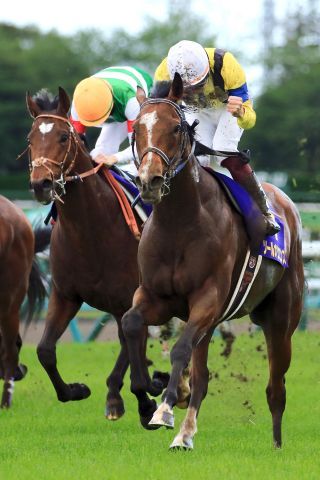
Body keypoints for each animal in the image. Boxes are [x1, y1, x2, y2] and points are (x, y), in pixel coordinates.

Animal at [25, 86, 164, 420]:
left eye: (64, 136)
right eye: (30, 139)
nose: (41, 184)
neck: (90, 232)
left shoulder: (130, 298)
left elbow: (133, 350)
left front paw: (144, 396)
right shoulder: (65, 294)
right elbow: (44, 350)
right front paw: (76, 389)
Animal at [122, 74, 304, 450]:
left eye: (176, 127)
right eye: (137, 130)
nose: (150, 181)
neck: (180, 222)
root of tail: (285, 203)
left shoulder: (208, 299)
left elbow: (179, 350)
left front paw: (164, 410)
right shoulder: (156, 297)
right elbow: (131, 323)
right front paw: (147, 398)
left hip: (281, 320)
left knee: (276, 386)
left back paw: (277, 445)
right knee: (203, 376)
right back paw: (185, 435)